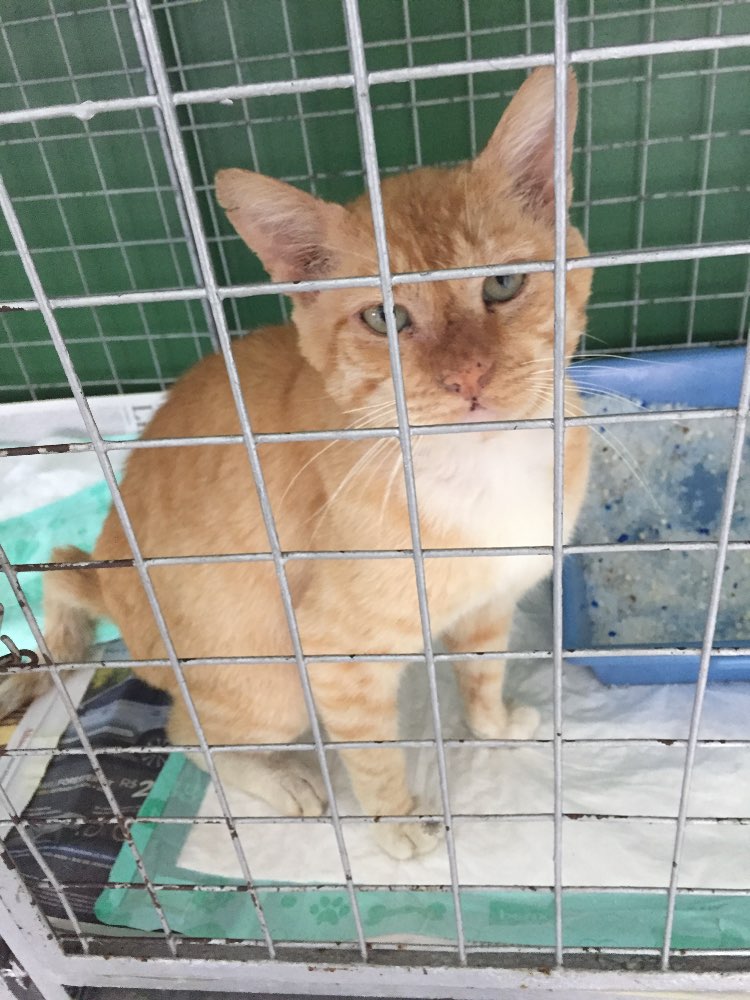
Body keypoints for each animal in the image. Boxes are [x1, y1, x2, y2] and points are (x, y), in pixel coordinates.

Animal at [20, 67, 592, 860]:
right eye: (384, 317)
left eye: (503, 285)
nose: (467, 377)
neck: (481, 471)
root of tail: (114, 574)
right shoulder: (333, 656)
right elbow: (374, 754)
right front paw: (397, 825)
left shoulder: (489, 607)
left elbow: (481, 672)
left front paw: (496, 725)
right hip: (273, 688)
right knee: (187, 732)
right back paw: (281, 780)